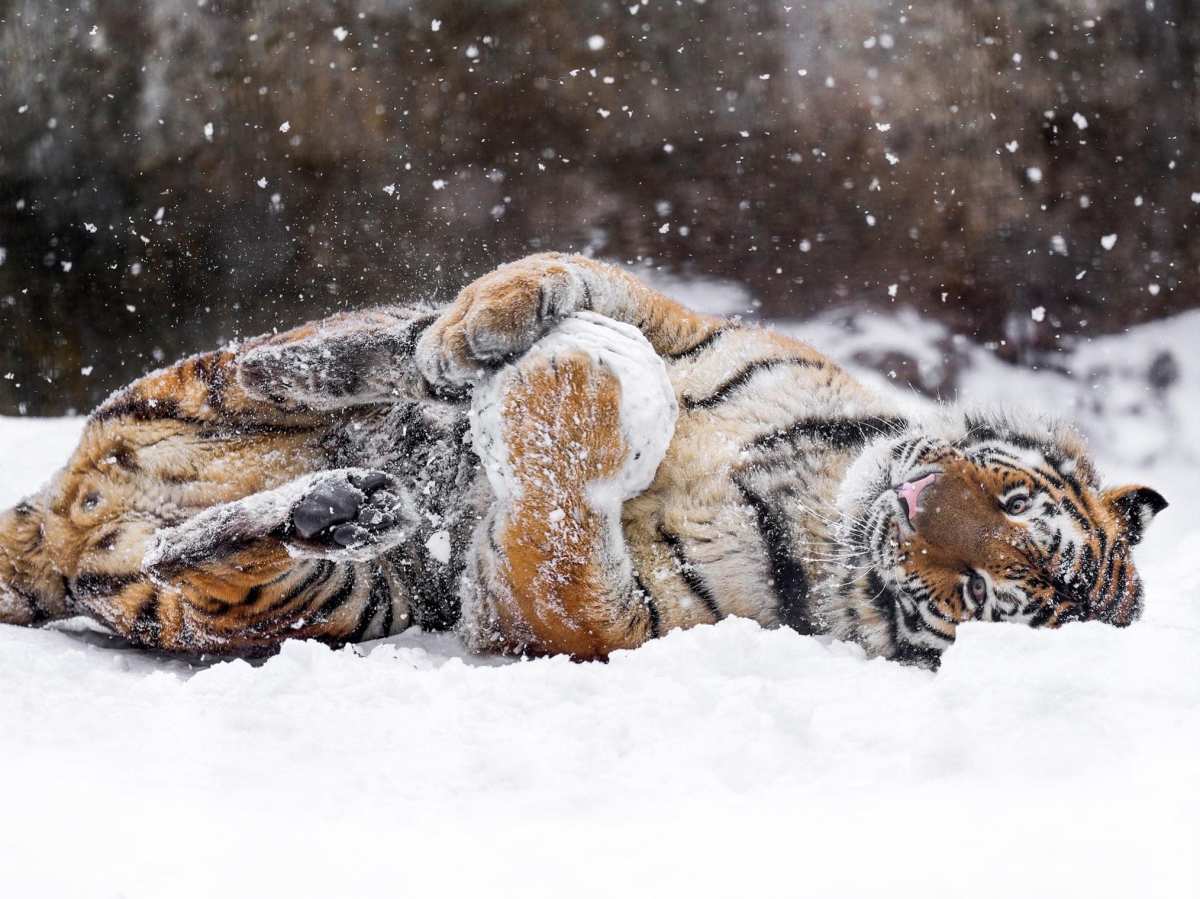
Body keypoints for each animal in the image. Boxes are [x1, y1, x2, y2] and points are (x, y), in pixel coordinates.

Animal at [0, 253, 1167, 666]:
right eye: (1008, 496)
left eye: (978, 594)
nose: (918, 501)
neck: (829, 505)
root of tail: (56, 525)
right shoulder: (712, 337)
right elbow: (581, 275)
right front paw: (482, 331)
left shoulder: (598, 620)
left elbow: (568, 549)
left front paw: (569, 397)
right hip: (230, 382)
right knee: (302, 360)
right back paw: (408, 364)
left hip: (328, 601)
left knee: (200, 562)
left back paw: (348, 502)